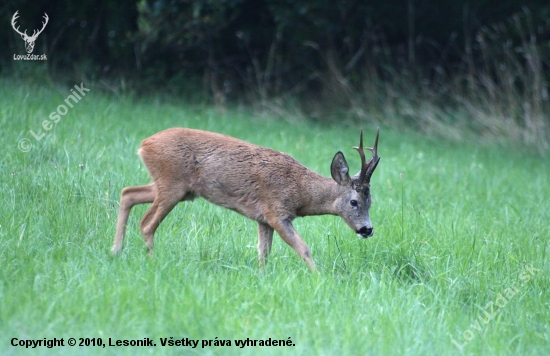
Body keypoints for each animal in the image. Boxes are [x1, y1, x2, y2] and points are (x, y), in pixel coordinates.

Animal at [110, 126, 382, 272]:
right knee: (147, 223)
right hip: (171, 185)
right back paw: (151, 262)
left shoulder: (263, 219)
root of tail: (144, 144)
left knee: (128, 193)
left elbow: (264, 253)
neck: (300, 190)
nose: (368, 229)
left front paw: (263, 277)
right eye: (354, 202)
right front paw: (319, 278)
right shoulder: (277, 212)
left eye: (371, 201)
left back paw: (116, 250)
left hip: (176, 188)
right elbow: (303, 248)